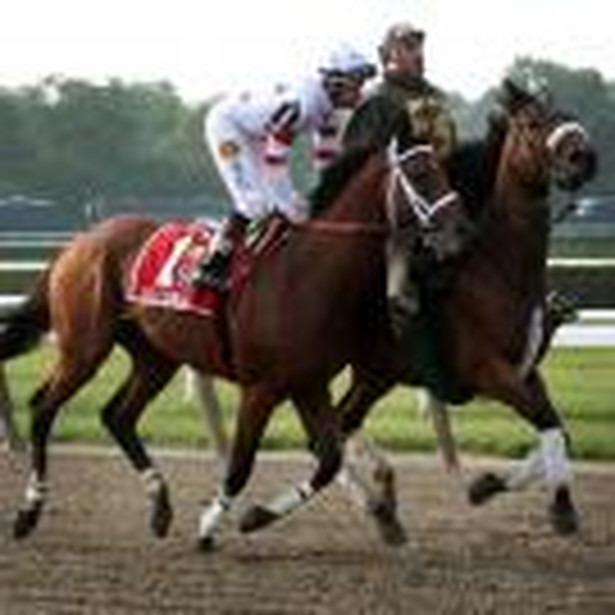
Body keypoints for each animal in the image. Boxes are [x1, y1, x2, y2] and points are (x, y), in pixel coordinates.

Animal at [0, 121, 464, 548]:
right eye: (420, 173)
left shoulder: (308, 384)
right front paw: (209, 525)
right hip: (85, 347)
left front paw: (257, 516)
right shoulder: (261, 387)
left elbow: (328, 458)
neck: (308, 273)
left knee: (117, 415)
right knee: (43, 408)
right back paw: (29, 511)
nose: (460, 231)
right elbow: (240, 463)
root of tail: (78, 242)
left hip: (156, 356)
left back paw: (160, 505)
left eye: (443, 170)